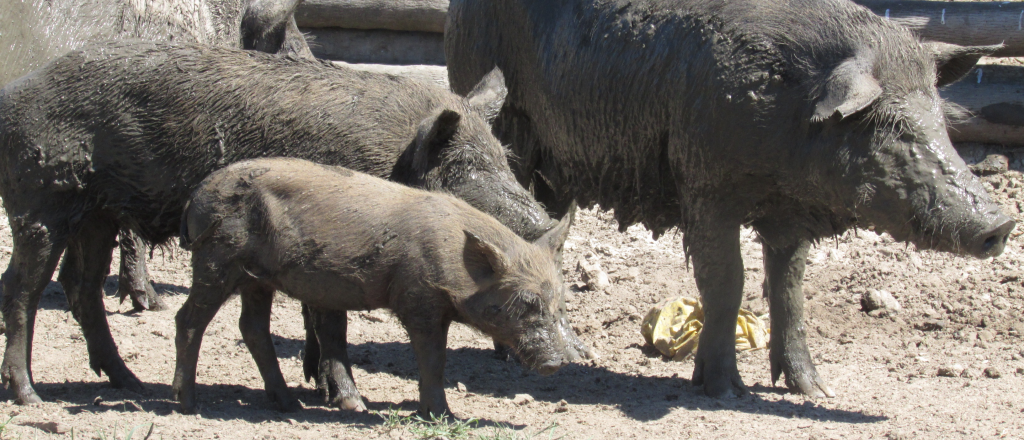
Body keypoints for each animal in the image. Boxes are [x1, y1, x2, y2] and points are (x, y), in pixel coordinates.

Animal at [177, 158, 577, 415]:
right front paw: (443, 416)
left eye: (559, 304)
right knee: (189, 320)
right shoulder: (418, 299)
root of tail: (195, 195)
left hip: (255, 278)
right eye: (525, 303)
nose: (558, 362)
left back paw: (293, 404)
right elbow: (433, 358)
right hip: (216, 259)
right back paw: (187, 403)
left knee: (252, 327)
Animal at [448, 0, 1015, 399]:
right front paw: (724, 390)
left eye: (938, 118)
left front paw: (816, 391)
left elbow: (789, 287)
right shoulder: (705, 184)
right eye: (890, 127)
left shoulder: (788, 214)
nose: (1002, 224)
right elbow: (726, 281)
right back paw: (510, 358)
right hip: (501, 117)